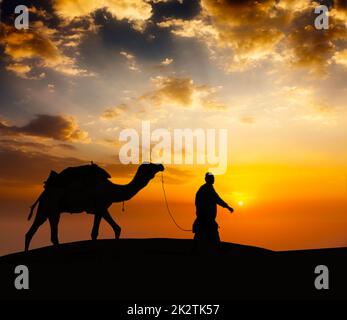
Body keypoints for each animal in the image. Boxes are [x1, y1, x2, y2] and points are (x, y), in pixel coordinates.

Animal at [25, 164, 165, 251]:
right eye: (150, 166)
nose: (160, 165)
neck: (112, 190)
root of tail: (43, 193)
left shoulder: (102, 208)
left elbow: (115, 228)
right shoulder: (100, 207)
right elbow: (95, 233)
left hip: (45, 209)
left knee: (30, 232)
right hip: (53, 207)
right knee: (52, 234)